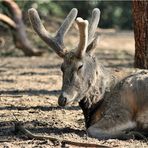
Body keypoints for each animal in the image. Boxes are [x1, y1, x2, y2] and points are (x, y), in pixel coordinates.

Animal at [27, 7, 148, 140]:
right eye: (62, 67)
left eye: (80, 66)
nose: (62, 99)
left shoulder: (122, 108)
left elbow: (92, 130)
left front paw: (135, 133)